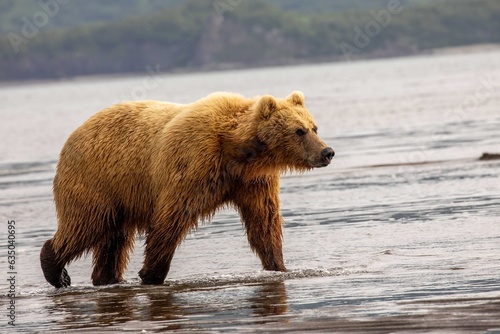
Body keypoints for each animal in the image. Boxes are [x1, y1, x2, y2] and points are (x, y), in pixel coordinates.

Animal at [40, 91, 336, 288]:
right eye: (299, 131)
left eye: (314, 127)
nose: (327, 152)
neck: (238, 150)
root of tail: (75, 134)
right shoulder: (193, 164)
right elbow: (171, 218)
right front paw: (151, 273)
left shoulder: (252, 181)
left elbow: (264, 223)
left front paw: (279, 266)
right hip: (96, 180)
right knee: (86, 224)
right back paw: (56, 269)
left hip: (119, 193)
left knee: (114, 237)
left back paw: (106, 278)